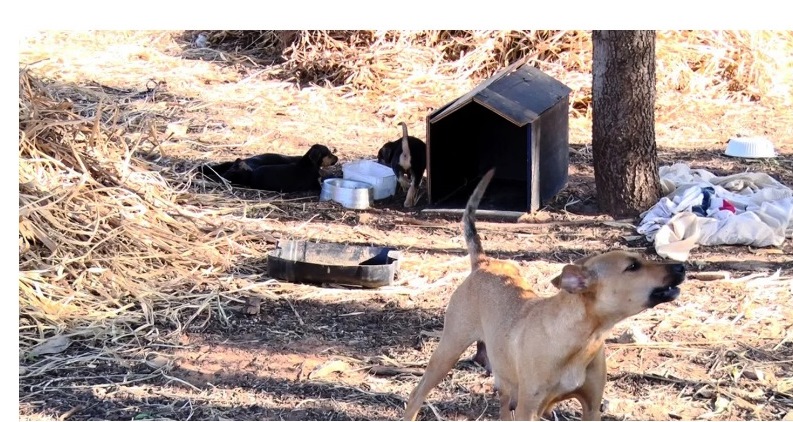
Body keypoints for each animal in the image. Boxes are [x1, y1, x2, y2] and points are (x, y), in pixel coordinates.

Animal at [406, 169, 684, 422]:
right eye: (633, 266)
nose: (681, 267)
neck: (582, 339)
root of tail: (483, 263)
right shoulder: (529, 410)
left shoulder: (591, 407)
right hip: (449, 350)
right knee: (416, 394)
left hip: (503, 377)